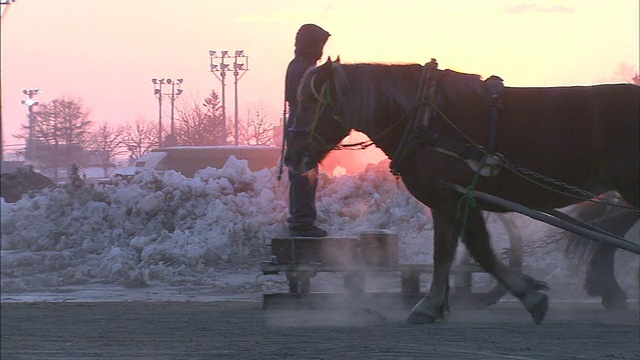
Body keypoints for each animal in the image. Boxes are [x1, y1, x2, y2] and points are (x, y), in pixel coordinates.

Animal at [286, 58, 640, 324]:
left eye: (309, 102)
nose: (292, 157)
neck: (425, 116)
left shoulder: (452, 199)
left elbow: (465, 251)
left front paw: (530, 297)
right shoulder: (453, 200)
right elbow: (459, 251)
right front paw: (437, 303)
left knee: (616, 228)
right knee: (614, 228)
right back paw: (607, 287)